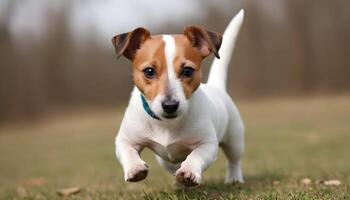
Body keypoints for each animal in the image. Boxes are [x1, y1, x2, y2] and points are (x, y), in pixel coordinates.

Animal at [113, 10, 245, 187]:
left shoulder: (207, 144)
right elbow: (128, 151)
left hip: (234, 139)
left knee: (234, 160)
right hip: (163, 159)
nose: (170, 105)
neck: (167, 124)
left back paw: (234, 177)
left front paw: (189, 171)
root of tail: (216, 86)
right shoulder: (125, 139)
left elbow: (196, 155)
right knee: (170, 165)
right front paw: (135, 168)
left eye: (187, 71)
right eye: (149, 71)